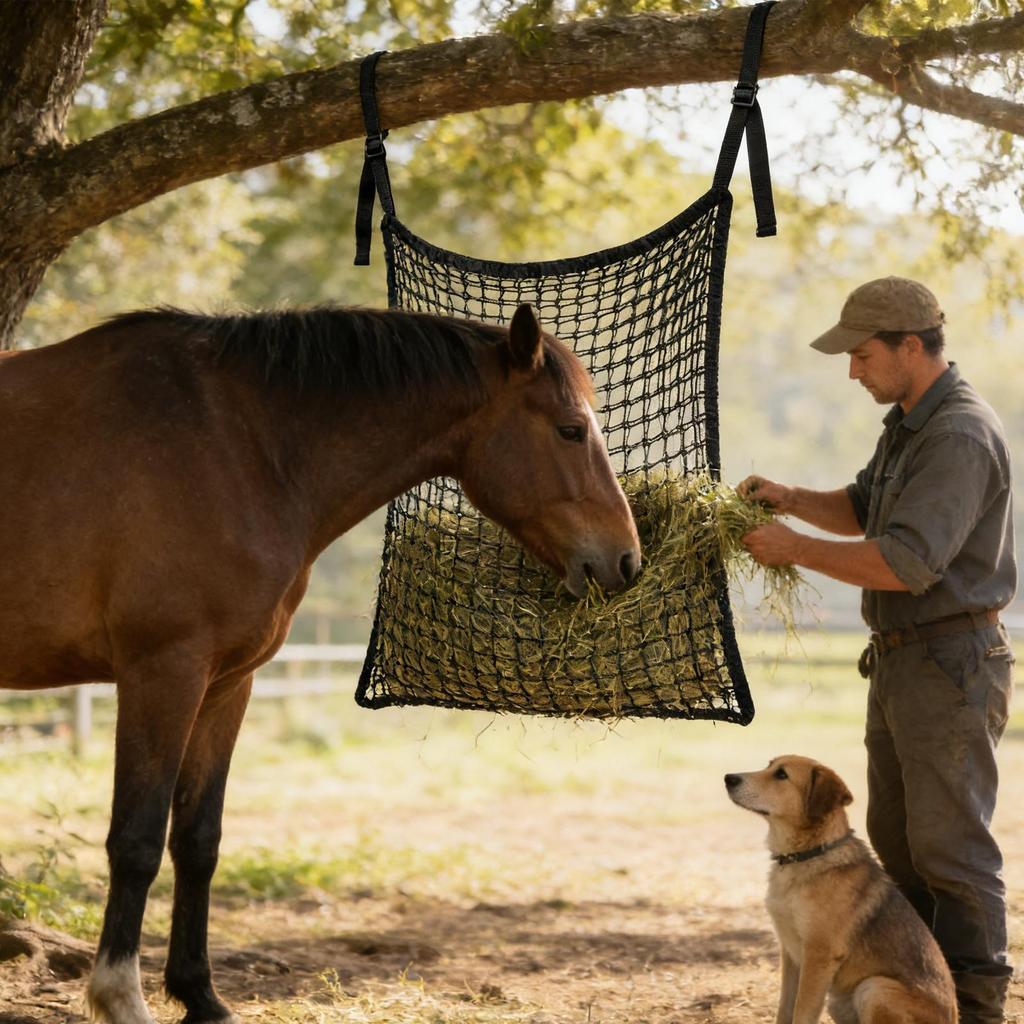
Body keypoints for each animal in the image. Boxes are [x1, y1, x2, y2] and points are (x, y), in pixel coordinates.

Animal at [0, 302, 640, 1024]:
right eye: (570, 430)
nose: (625, 559)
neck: (238, 444)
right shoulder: (162, 672)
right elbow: (135, 840)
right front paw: (121, 997)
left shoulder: (227, 683)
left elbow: (198, 838)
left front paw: (200, 995)